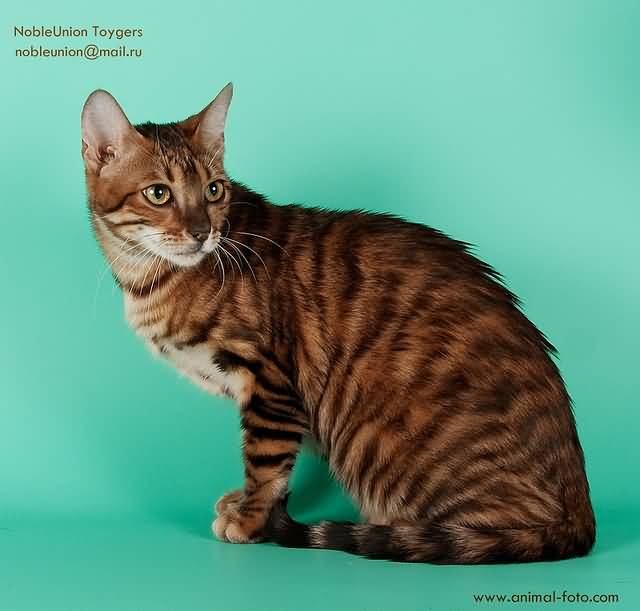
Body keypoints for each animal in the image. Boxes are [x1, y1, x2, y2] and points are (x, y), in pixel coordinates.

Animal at [80, 81, 596, 564]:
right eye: (159, 193)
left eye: (213, 190)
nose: (203, 231)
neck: (150, 277)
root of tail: (582, 509)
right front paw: (241, 504)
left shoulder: (269, 380)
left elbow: (265, 460)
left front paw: (250, 517)